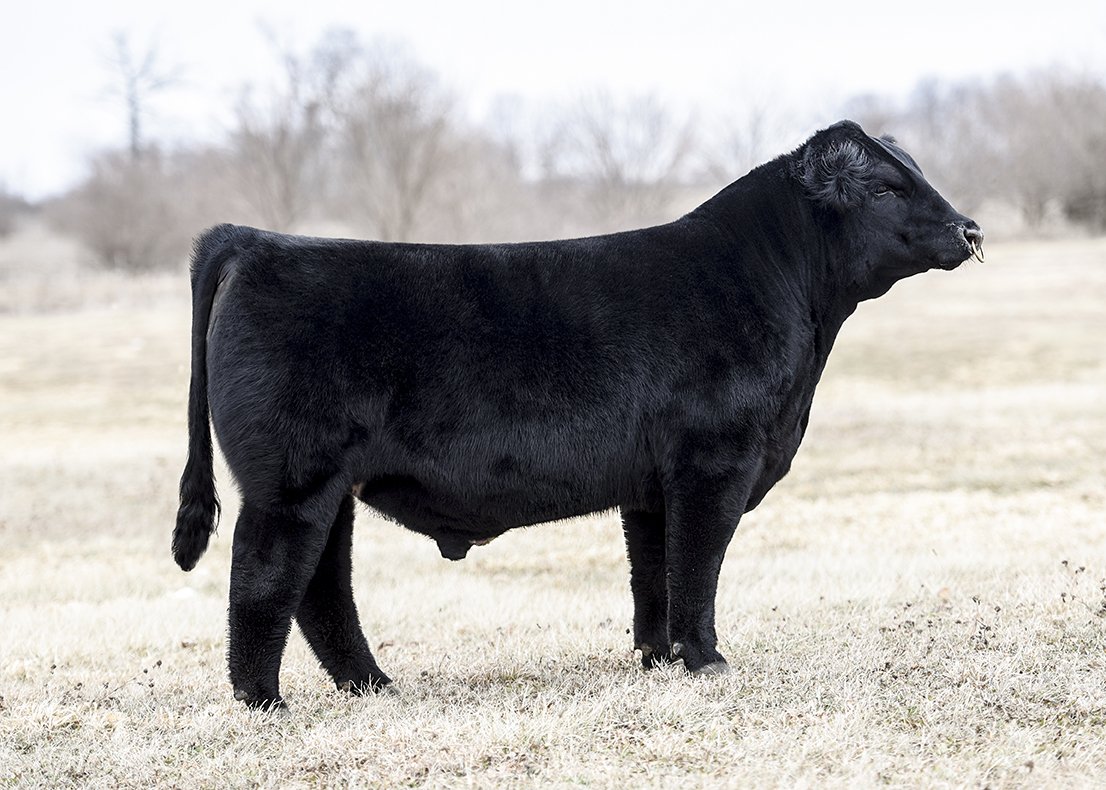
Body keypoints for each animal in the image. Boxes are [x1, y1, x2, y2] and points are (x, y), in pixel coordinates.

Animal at [173, 120, 984, 709]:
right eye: (883, 188)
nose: (970, 228)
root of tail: (253, 241)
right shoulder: (713, 462)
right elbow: (696, 565)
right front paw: (707, 660)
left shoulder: (651, 486)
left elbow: (653, 573)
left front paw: (659, 659)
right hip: (291, 483)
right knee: (265, 580)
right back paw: (264, 702)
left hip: (329, 487)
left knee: (321, 589)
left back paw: (372, 686)